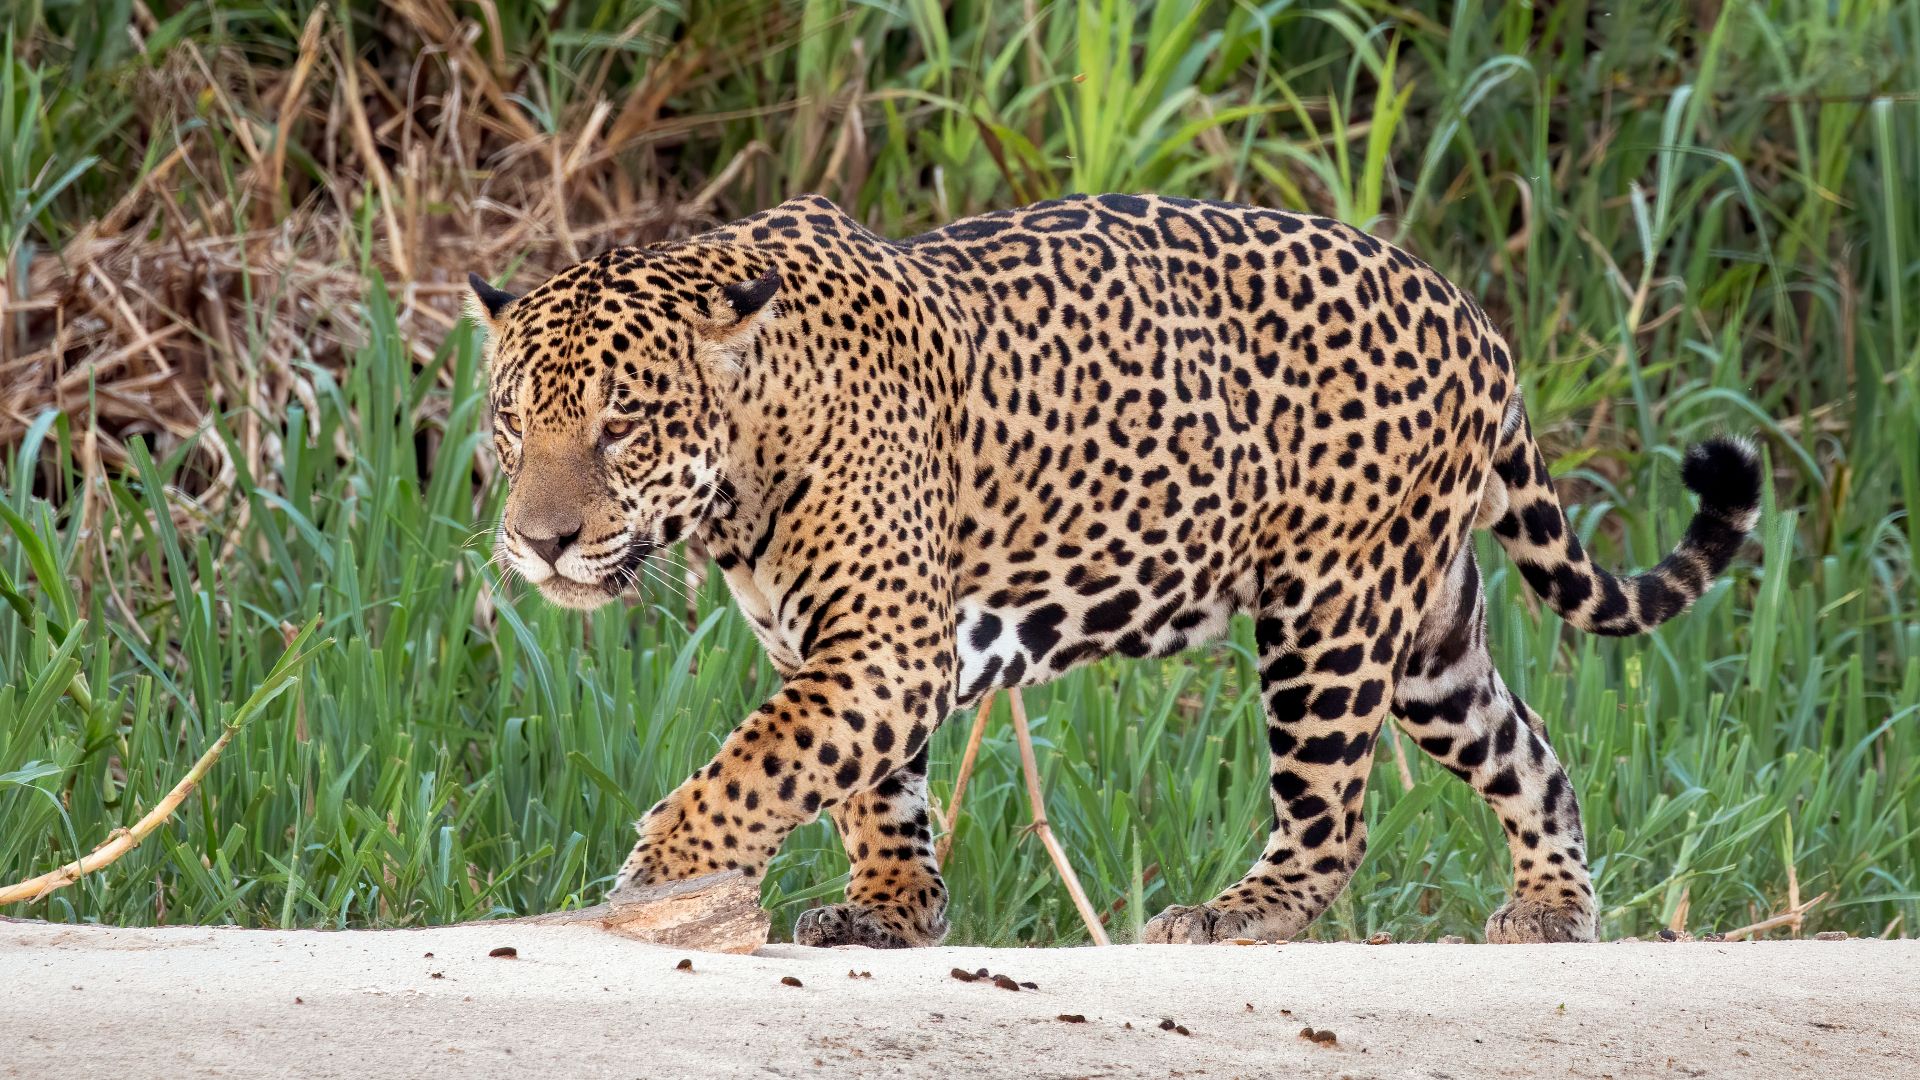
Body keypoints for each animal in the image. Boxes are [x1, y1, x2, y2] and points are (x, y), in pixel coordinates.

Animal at [468, 193, 1760, 948]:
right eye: (512, 420)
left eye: (622, 428)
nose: (539, 542)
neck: (744, 467)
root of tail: (1475, 320)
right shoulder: (841, 651)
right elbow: (864, 785)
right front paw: (893, 911)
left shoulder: (885, 649)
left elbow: (758, 765)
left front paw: (660, 872)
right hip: (1430, 634)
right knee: (1531, 754)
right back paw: (1551, 910)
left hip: (1330, 614)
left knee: (1331, 817)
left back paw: (1236, 916)